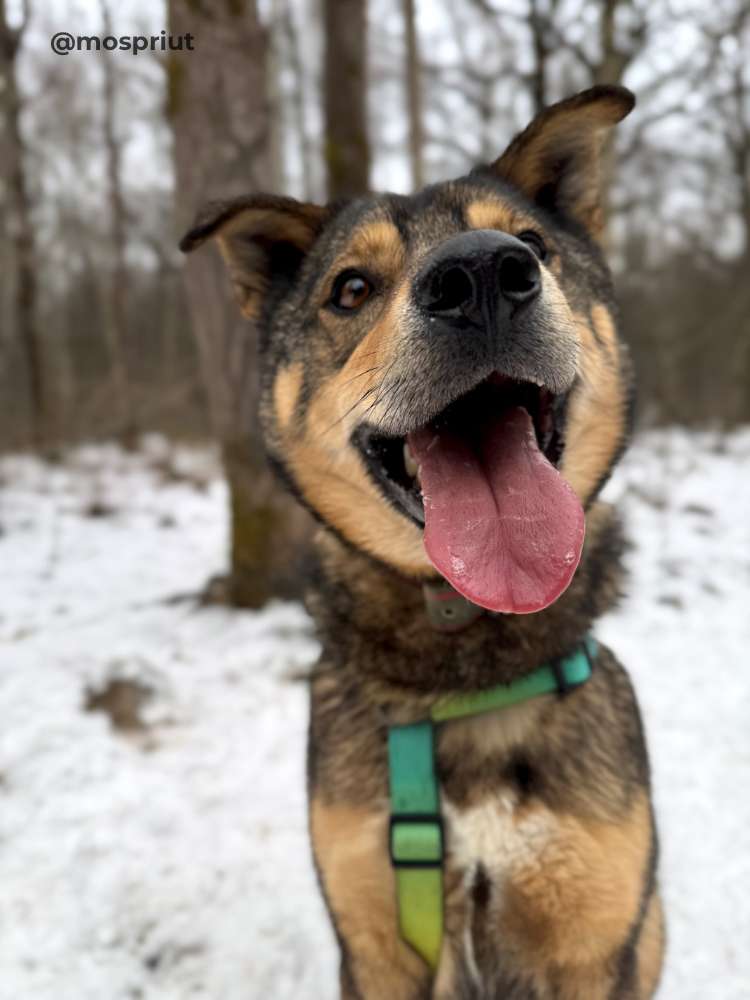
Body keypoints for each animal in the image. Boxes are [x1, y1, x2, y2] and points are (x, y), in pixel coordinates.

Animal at [182, 88, 664, 1000]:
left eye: (533, 245)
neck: (462, 678)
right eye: (351, 288)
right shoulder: (373, 937)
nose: (482, 274)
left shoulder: (594, 939)